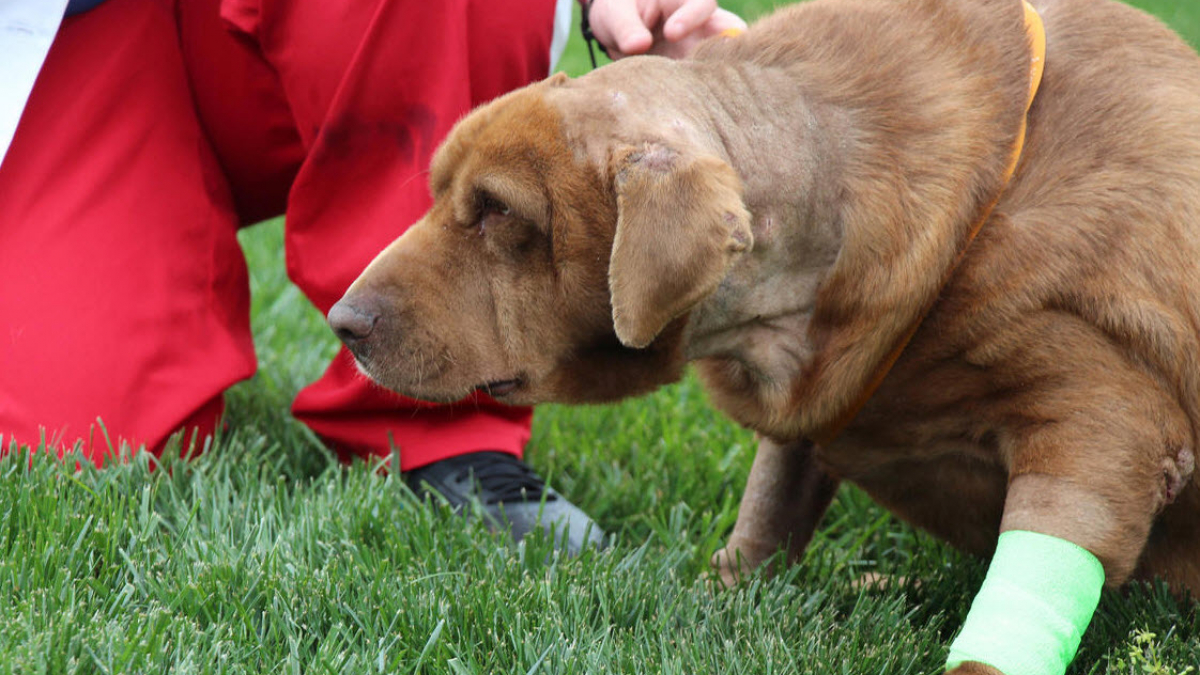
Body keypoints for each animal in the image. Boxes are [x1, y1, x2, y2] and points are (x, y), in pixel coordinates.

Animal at [328, 0, 1200, 667]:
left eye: (497, 210)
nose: (343, 322)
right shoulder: (812, 406)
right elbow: (767, 510)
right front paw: (725, 595)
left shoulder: (1098, 415)